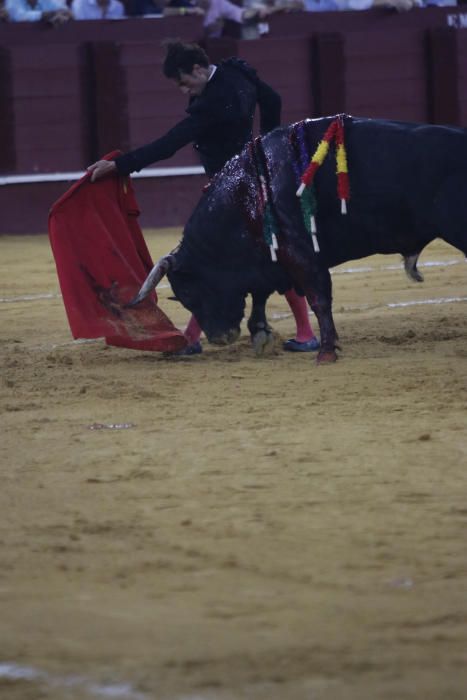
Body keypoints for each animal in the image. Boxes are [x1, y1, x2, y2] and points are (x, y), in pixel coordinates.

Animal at [131, 114, 467, 360]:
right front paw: (261, 333)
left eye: (190, 292)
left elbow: (318, 299)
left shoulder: (300, 253)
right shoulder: (270, 257)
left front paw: (327, 351)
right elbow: (261, 293)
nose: (219, 338)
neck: (247, 194)